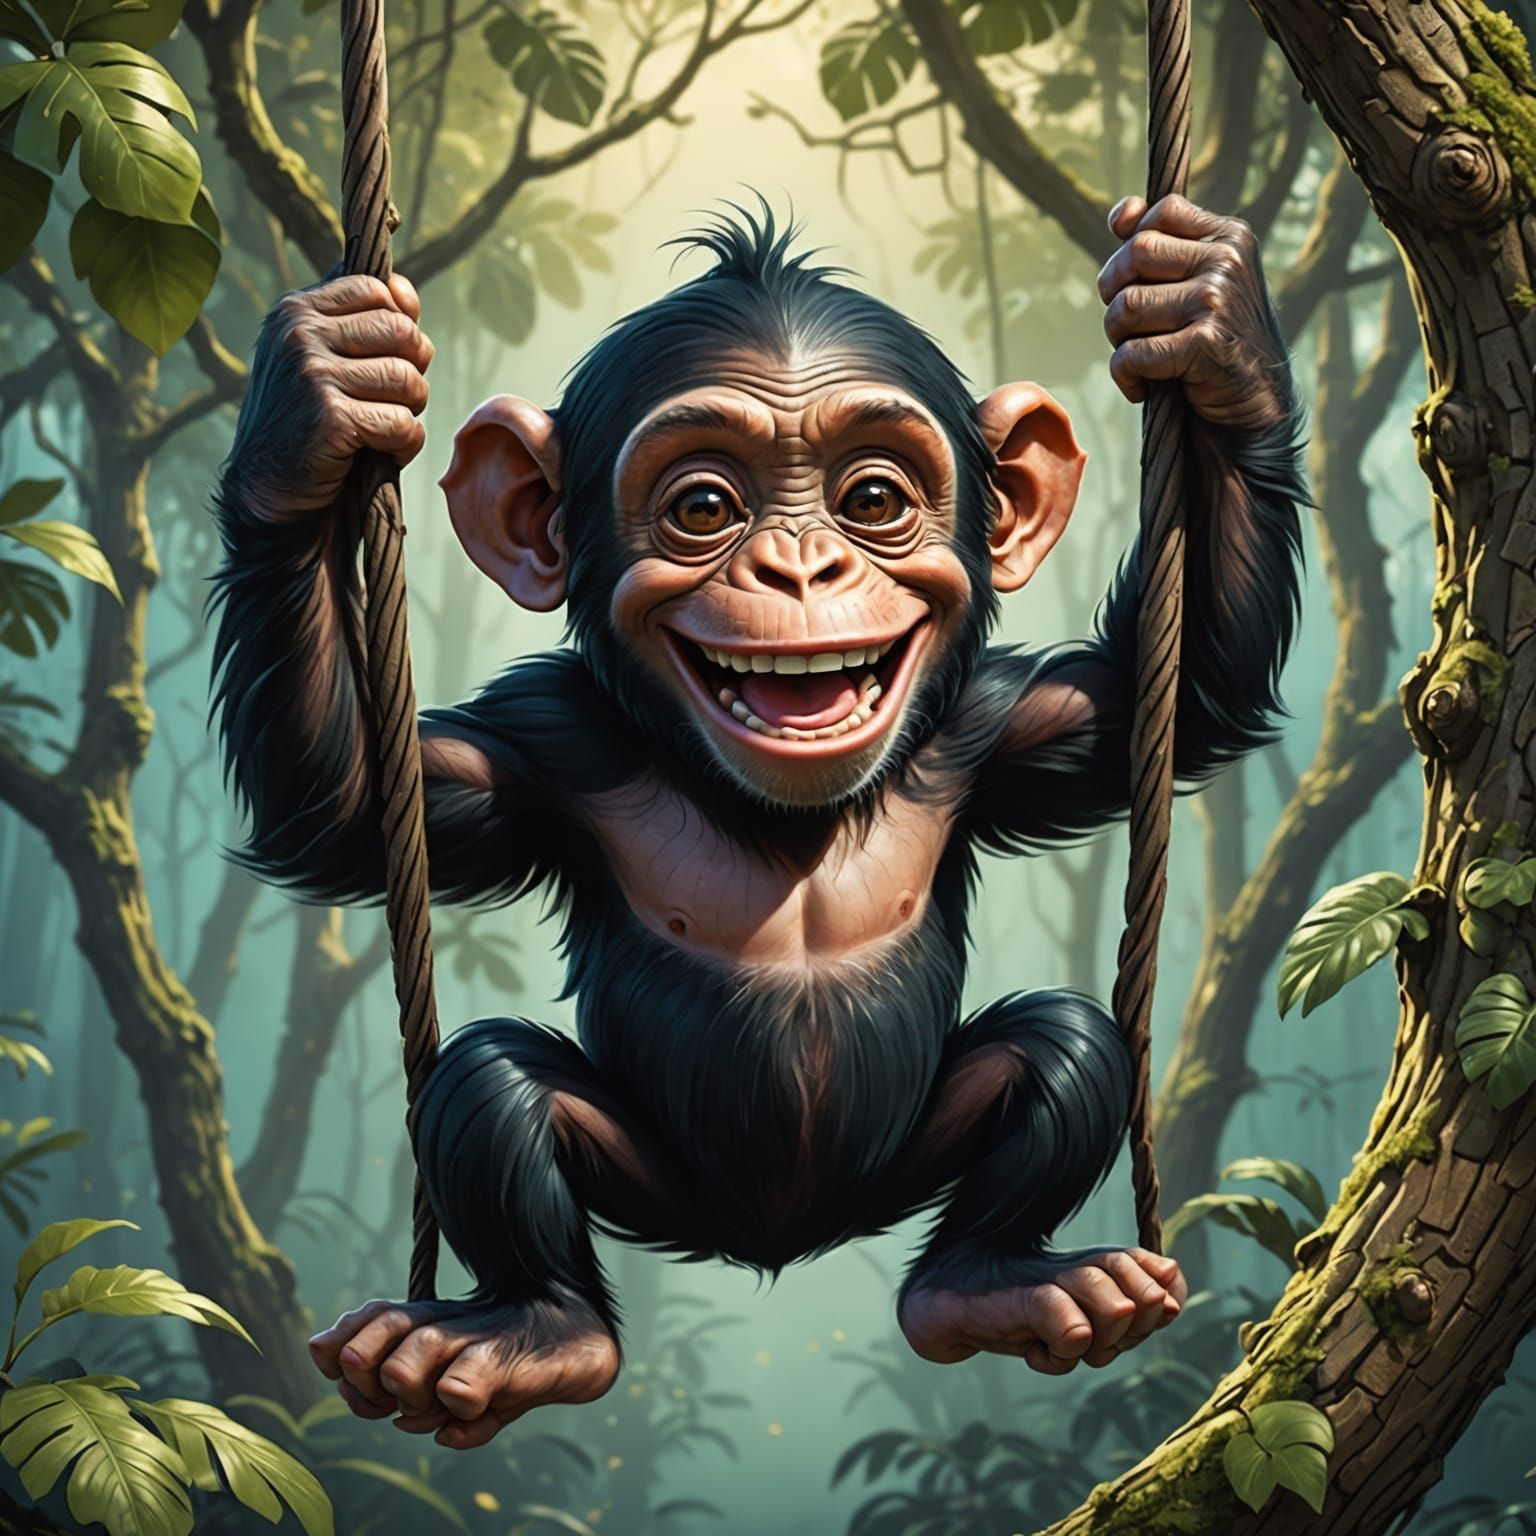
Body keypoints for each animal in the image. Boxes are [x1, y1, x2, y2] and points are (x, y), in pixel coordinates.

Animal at [210, 194, 1303, 1450]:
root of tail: (781, 1242)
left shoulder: (1011, 728)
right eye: (704, 508)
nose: (799, 566)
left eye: (872, 499)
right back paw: (535, 1331)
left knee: (1063, 1043)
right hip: (658, 1184)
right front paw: (319, 398)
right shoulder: (542, 744)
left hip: (900, 1170)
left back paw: (991, 1282)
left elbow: (1171, 699)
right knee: (494, 1080)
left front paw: (1206, 317)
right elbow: (339, 807)